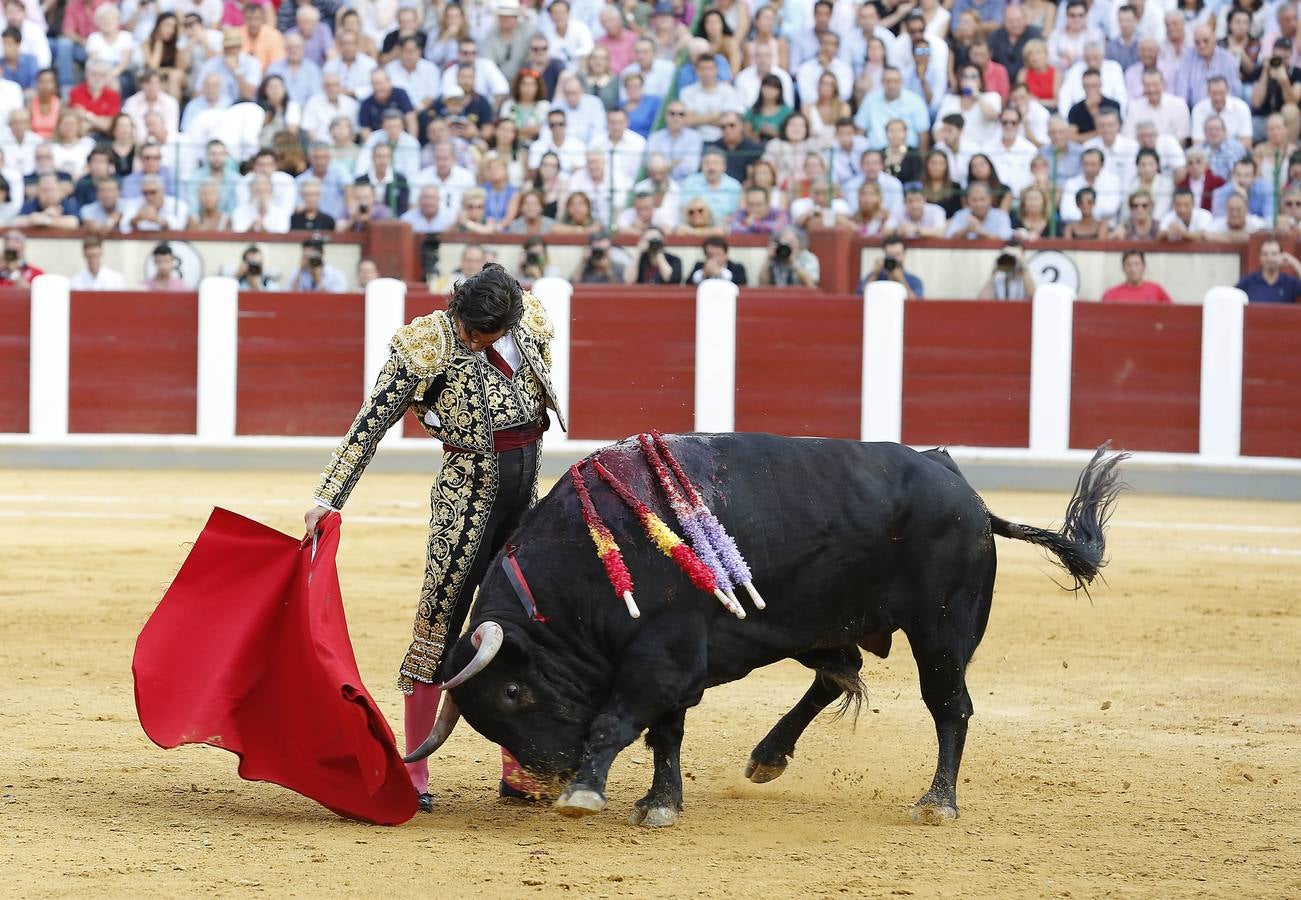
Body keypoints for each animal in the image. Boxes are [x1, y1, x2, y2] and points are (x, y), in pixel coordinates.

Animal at [405, 431, 1129, 827]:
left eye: (513, 693)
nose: (553, 774)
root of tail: (969, 495)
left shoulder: (662, 653)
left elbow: (622, 720)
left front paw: (586, 793)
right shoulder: (679, 659)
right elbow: (665, 733)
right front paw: (658, 804)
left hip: (942, 631)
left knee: (949, 707)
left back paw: (936, 802)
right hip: (825, 623)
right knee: (838, 677)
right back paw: (767, 756)